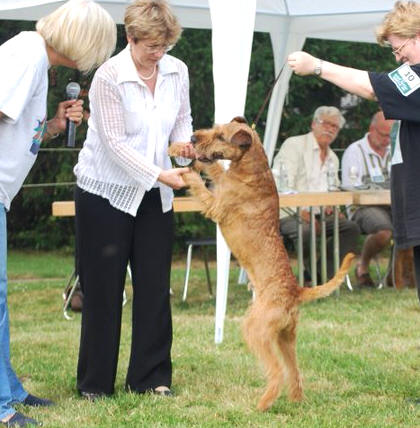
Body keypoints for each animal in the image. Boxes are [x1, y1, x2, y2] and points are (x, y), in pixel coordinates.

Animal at [167, 117, 354, 412]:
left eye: (221, 136)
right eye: (215, 128)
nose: (194, 138)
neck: (251, 167)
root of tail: (296, 292)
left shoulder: (216, 205)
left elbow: (199, 181)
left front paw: (183, 171)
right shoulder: (220, 181)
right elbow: (213, 168)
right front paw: (178, 149)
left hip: (255, 331)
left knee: (277, 371)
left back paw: (263, 404)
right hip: (286, 336)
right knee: (295, 371)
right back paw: (295, 401)